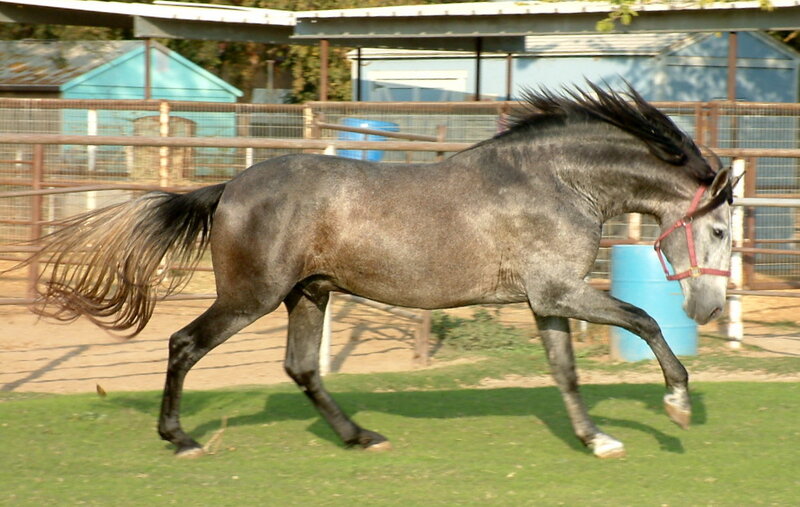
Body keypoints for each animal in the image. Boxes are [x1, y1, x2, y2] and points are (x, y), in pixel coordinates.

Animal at [14, 82, 736, 459]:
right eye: (721, 231)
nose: (706, 310)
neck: (555, 181)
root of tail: (228, 188)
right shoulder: (561, 291)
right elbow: (643, 320)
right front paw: (677, 404)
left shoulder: (547, 299)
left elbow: (566, 371)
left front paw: (596, 439)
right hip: (252, 296)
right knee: (183, 344)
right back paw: (181, 438)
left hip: (309, 295)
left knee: (302, 368)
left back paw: (360, 435)